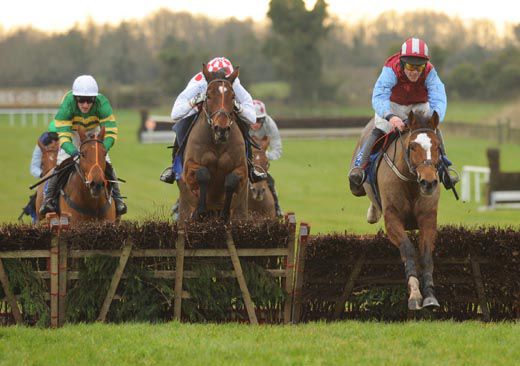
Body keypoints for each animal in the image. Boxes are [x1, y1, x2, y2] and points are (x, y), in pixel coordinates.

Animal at [352, 111, 440, 308]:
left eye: (438, 146)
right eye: (412, 146)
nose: (429, 182)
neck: (411, 182)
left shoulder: (428, 218)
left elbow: (426, 255)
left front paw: (430, 295)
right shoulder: (392, 219)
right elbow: (408, 250)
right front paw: (414, 294)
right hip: (357, 183)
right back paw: (372, 211)